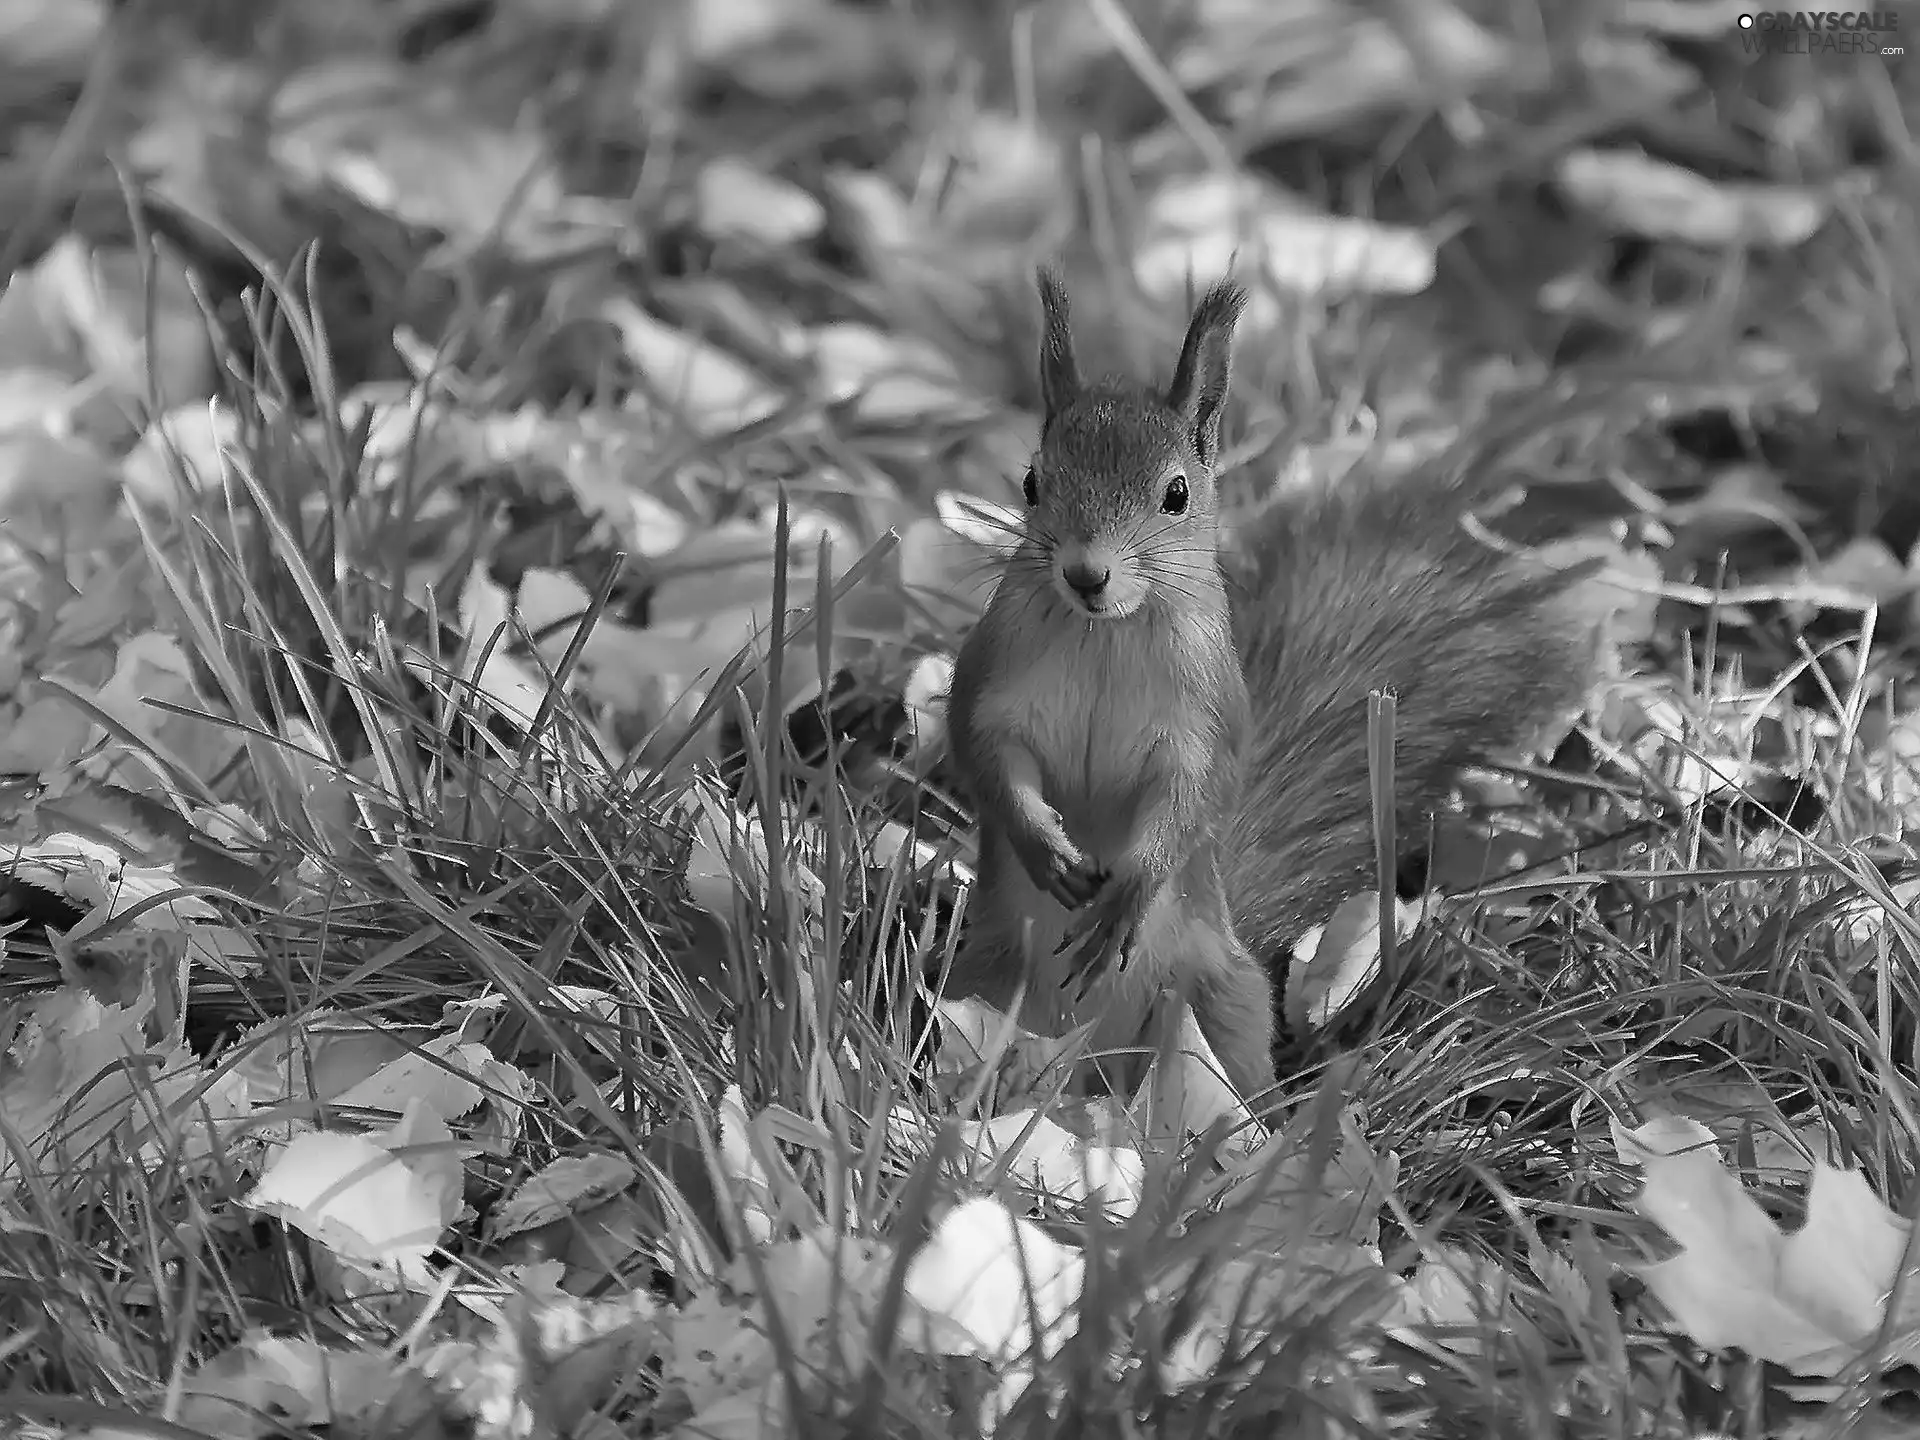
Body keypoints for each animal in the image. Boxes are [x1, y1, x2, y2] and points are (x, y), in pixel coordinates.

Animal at [936, 272, 1597, 1105]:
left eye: (1176, 494)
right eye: (1032, 482)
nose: (1086, 574)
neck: (1105, 636)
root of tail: (1091, 1069)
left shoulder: (1208, 718)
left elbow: (1193, 800)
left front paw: (1129, 890)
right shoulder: (992, 683)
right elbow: (988, 759)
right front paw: (1043, 845)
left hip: (1221, 1003)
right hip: (983, 984)